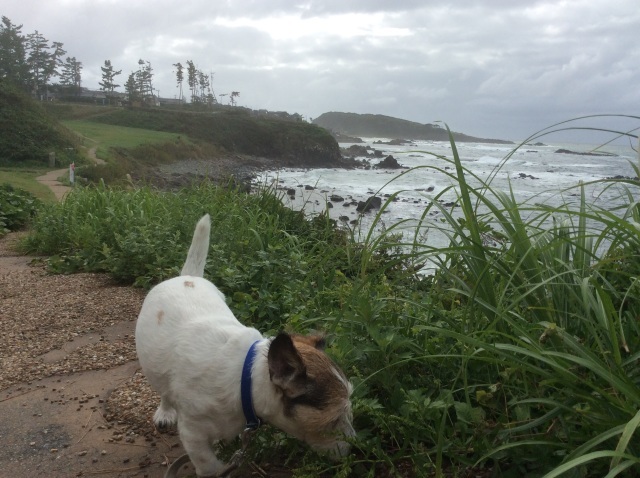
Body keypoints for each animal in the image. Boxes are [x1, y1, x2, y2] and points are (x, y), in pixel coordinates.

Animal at [136, 215, 356, 476]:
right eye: (333, 420)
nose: (356, 449)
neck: (246, 379)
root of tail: (188, 277)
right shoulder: (192, 434)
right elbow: (209, 464)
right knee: (163, 389)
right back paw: (165, 410)